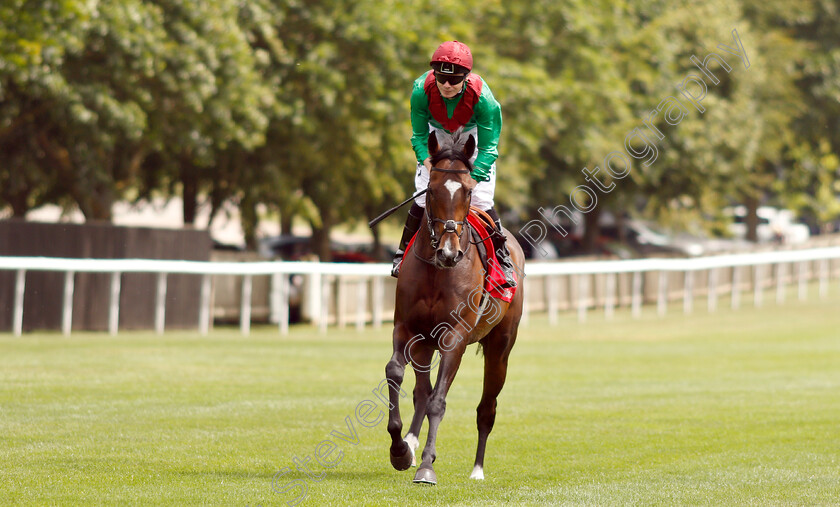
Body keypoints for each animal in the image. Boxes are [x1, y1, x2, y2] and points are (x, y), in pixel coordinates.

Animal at [386, 129, 524, 486]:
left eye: (468, 191)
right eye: (431, 190)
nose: (449, 253)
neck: (438, 271)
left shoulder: (455, 337)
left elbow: (439, 401)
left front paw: (426, 466)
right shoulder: (406, 329)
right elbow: (396, 374)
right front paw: (400, 450)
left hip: (500, 347)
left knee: (487, 408)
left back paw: (477, 469)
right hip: (424, 343)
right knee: (421, 391)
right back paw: (411, 441)